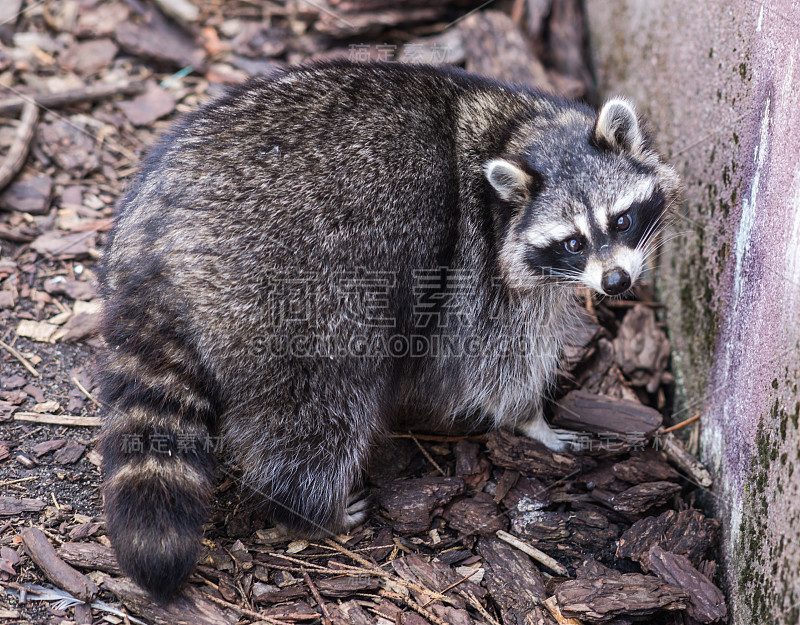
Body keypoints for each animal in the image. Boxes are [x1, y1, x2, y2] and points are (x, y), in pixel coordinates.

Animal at [97, 59, 680, 600]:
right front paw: (533, 421)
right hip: (295, 292)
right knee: (321, 405)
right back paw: (307, 507)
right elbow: (497, 362)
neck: (521, 133)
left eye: (621, 220)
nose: (616, 282)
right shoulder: (478, 273)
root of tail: (154, 245)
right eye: (573, 242)